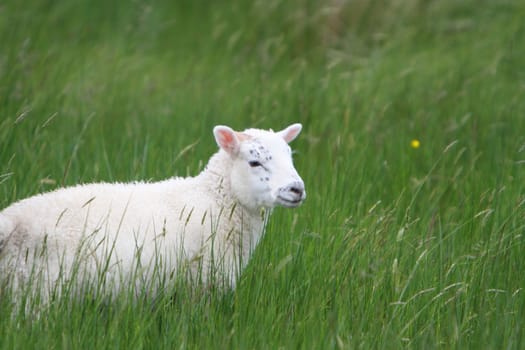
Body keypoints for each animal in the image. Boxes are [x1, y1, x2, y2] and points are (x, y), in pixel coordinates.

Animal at [0, 122, 304, 298]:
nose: (297, 189)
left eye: (290, 157)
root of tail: (10, 221)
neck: (214, 200)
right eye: (255, 162)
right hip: (33, 293)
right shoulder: (200, 287)